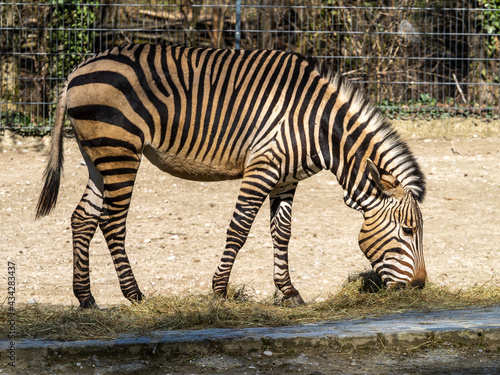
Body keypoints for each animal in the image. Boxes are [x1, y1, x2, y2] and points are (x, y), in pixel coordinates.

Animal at [36, 44, 426, 308]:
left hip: (97, 155)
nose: (421, 286)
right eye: (408, 231)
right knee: (112, 222)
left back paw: (86, 298)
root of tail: (79, 69)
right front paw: (220, 290)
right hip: (119, 150)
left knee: (82, 218)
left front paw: (289, 292)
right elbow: (239, 229)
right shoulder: (263, 166)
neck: (318, 126)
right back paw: (134, 294)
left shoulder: (287, 178)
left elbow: (282, 233)